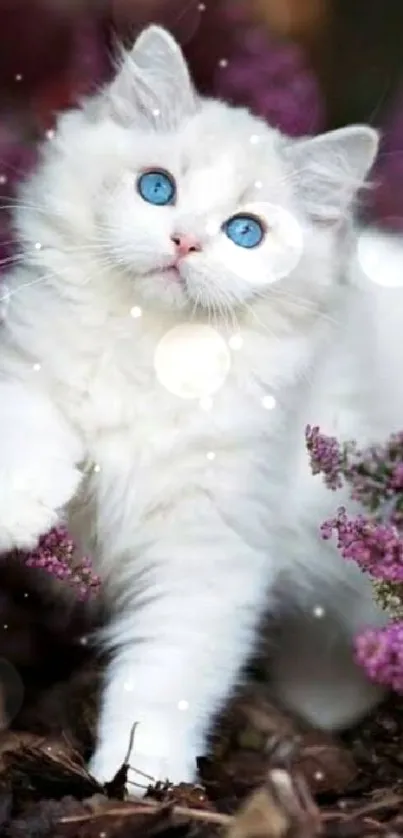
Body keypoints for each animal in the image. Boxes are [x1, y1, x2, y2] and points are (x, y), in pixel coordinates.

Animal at [0, 23, 400, 792]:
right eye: (157, 188)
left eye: (245, 232)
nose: (184, 241)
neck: (148, 348)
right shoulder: (24, 346)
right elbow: (25, 410)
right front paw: (25, 501)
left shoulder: (210, 551)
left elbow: (166, 675)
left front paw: (139, 776)